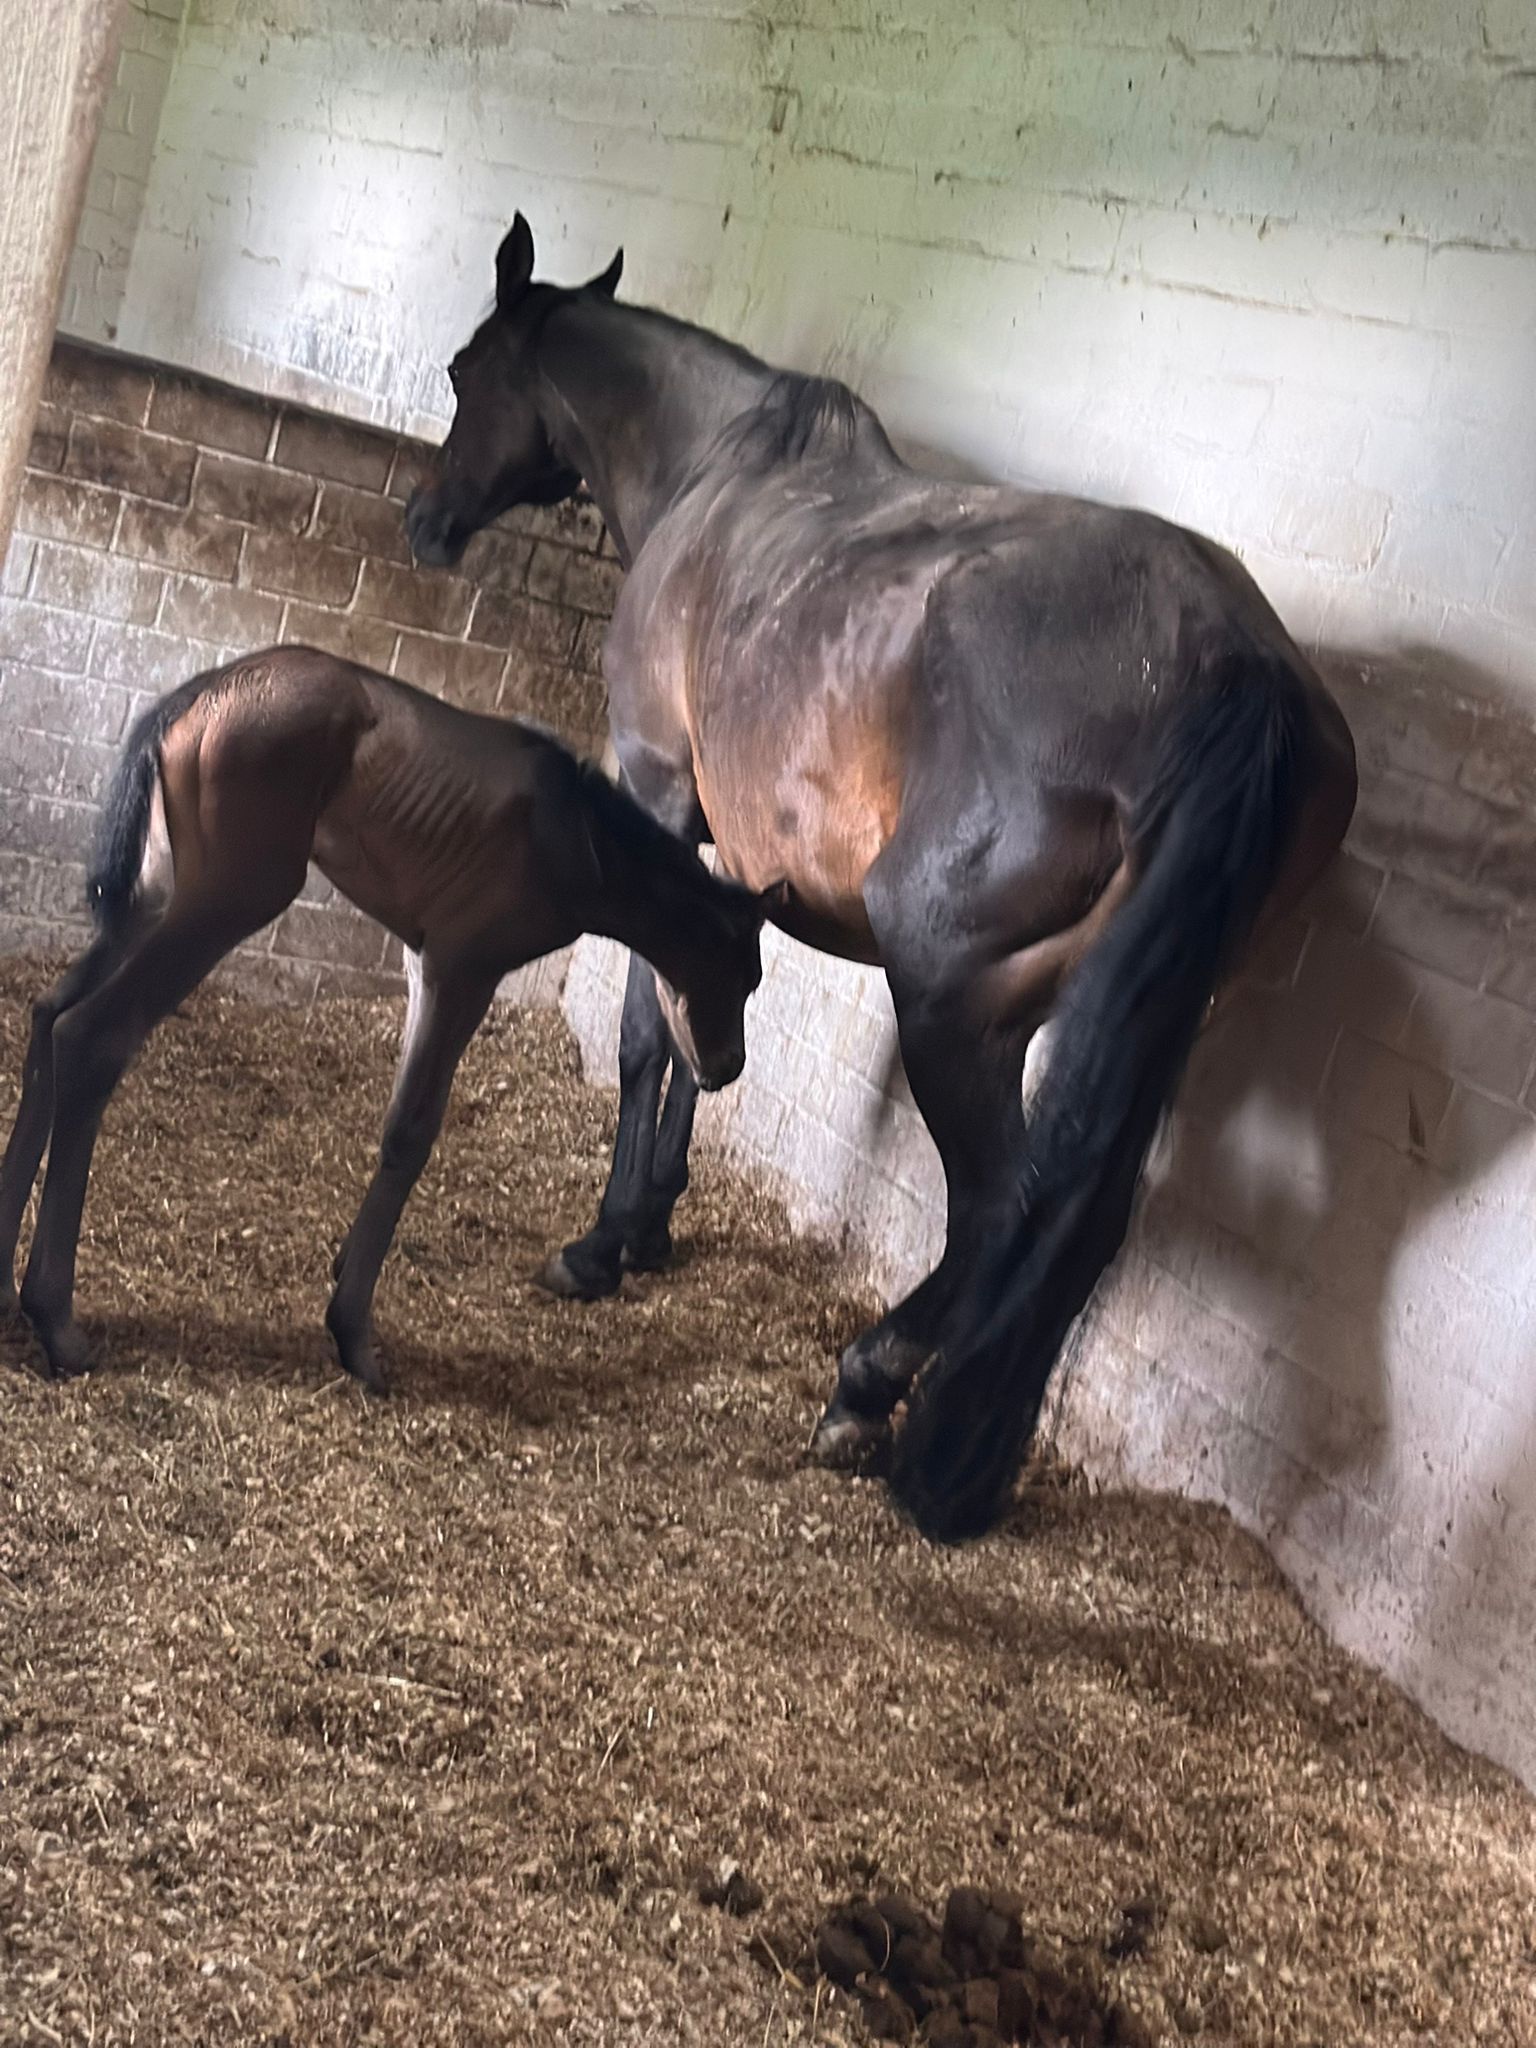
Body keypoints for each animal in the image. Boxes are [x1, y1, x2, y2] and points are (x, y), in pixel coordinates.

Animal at [0, 644, 778, 1390]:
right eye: (744, 975)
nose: (726, 1065)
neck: (573, 836)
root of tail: (198, 695)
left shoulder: (421, 964)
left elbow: (401, 1118)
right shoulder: (464, 968)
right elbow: (413, 1132)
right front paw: (354, 1335)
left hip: (155, 898)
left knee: (48, 1017)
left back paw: (7, 1294)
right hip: (228, 899)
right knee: (93, 1034)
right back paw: (56, 1320)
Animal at [404, 216, 1358, 1541]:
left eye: (462, 371)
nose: (426, 521)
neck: (722, 474)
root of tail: (1236, 667)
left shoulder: (657, 792)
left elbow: (650, 1021)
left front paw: (600, 1244)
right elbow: (703, 1021)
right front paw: (651, 1225)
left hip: (954, 995)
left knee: (1005, 1206)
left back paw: (867, 1391)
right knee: (1080, 1220)